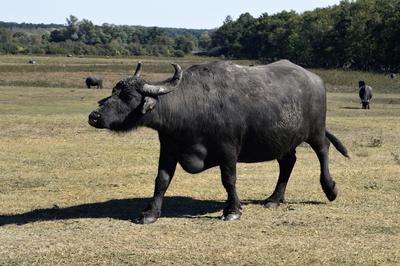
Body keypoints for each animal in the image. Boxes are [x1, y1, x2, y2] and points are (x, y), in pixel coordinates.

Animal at [86, 60, 346, 224]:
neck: (193, 107)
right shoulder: (168, 148)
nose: (94, 116)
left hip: (315, 131)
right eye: (114, 92)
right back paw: (273, 199)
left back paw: (330, 189)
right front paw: (150, 213)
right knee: (288, 163)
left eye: (128, 96)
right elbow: (161, 180)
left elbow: (228, 179)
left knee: (323, 149)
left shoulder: (228, 149)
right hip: (283, 140)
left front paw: (233, 210)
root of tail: (315, 79)